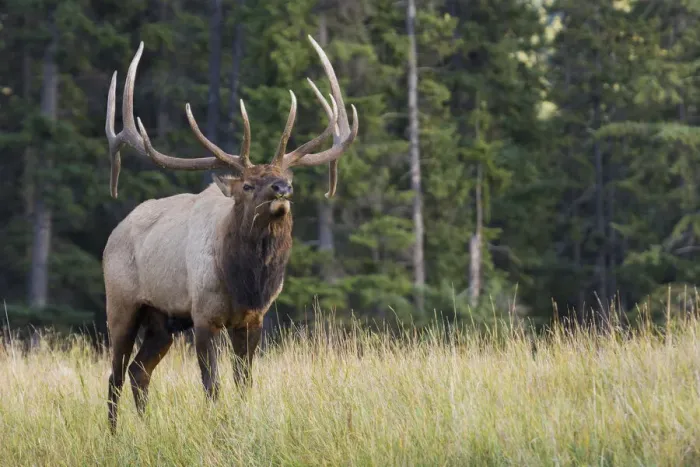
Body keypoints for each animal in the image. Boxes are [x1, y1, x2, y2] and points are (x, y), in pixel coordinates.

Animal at [102, 35, 358, 432]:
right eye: (249, 185)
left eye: (287, 176)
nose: (283, 189)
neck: (245, 282)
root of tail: (113, 233)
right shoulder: (204, 317)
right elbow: (213, 385)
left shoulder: (253, 319)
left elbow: (244, 382)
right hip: (122, 304)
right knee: (114, 374)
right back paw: (115, 435)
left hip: (162, 321)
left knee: (138, 371)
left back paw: (144, 427)